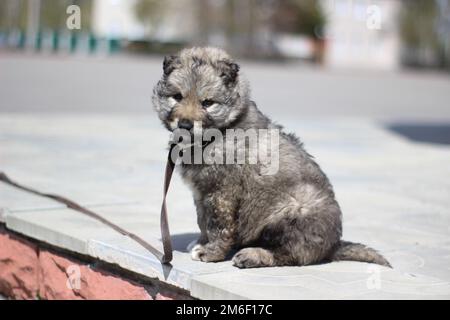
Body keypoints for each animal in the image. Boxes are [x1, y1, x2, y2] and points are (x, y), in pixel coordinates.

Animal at [152, 47, 390, 268]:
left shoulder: (223, 193)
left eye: (207, 103)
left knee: (288, 254)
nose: (184, 125)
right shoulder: (202, 193)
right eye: (177, 97)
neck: (222, 130)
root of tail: (333, 246)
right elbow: (202, 220)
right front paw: (202, 242)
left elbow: (219, 226)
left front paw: (210, 253)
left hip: (292, 209)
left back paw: (252, 255)